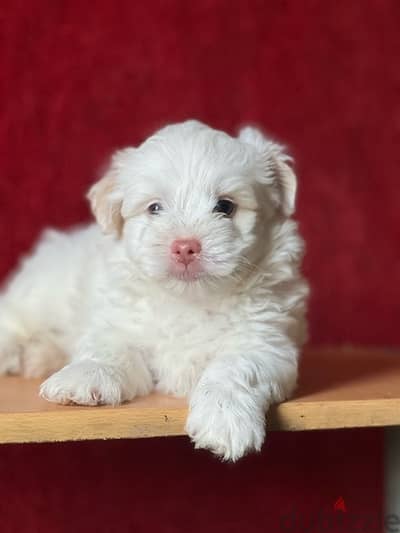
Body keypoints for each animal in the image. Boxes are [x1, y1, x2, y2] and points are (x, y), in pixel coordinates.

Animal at [0, 120, 310, 458]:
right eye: (155, 208)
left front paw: (224, 415)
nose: (185, 247)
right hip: (41, 292)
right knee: (13, 318)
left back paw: (38, 357)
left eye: (225, 206)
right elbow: (108, 350)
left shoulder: (265, 342)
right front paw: (84, 375)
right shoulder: (118, 322)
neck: (189, 301)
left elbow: (235, 367)